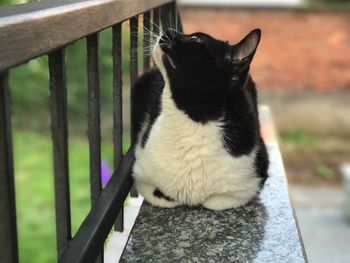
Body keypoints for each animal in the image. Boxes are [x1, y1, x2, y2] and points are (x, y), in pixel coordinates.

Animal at [131, 28, 268, 210]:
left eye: (196, 39)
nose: (169, 30)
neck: (193, 121)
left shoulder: (249, 183)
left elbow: (214, 201)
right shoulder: (141, 174)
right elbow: (162, 195)